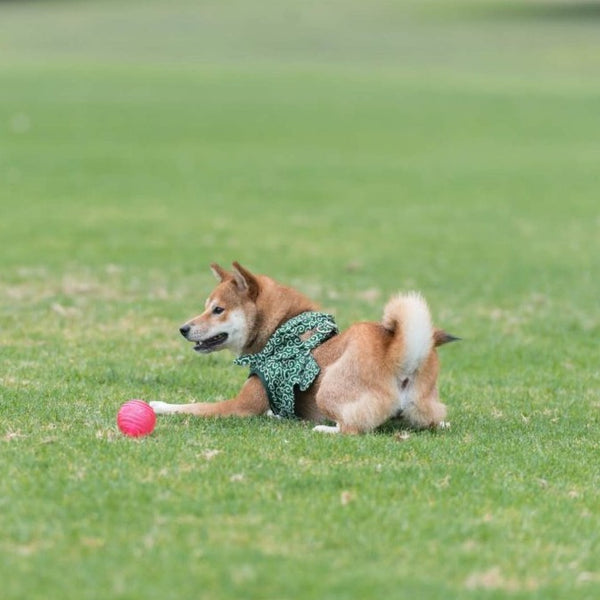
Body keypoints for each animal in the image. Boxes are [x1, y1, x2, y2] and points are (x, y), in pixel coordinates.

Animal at [151, 260, 460, 434]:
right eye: (205, 307)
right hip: (425, 409)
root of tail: (398, 354)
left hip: (328, 389)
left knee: (353, 429)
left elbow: (190, 407)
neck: (281, 328)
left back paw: (323, 428)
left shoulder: (241, 405)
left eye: (218, 310)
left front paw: (159, 405)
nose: (183, 328)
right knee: (434, 423)